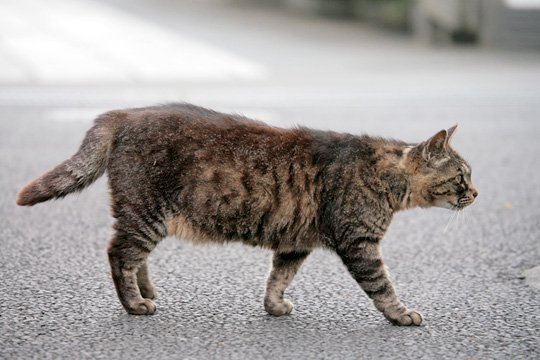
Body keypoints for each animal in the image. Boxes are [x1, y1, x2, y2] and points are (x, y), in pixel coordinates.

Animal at [15, 102, 476, 324]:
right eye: (460, 177)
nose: (475, 193)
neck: (386, 177)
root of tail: (127, 112)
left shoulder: (296, 242)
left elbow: (278, 277)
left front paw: (274, 306)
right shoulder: (359, 244)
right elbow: (383, 287)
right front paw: (401, 315)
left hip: (144, 216)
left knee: (132, 255)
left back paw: (146, 292)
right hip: (145, 212)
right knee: (119, 254)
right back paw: (134, 304)